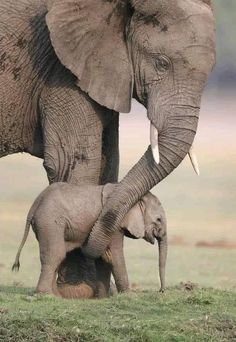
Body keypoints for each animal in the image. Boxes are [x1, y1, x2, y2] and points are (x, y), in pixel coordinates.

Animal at [13, 183, 168, 296]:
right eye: (158, 219)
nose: (161, 290)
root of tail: (35, 205)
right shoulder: (116, 225)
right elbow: (115, 255)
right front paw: (128, 295)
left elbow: (104, 258)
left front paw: (103, 297)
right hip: (50, 223)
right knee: (55, 254)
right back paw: (46, 295)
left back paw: (56, 295)